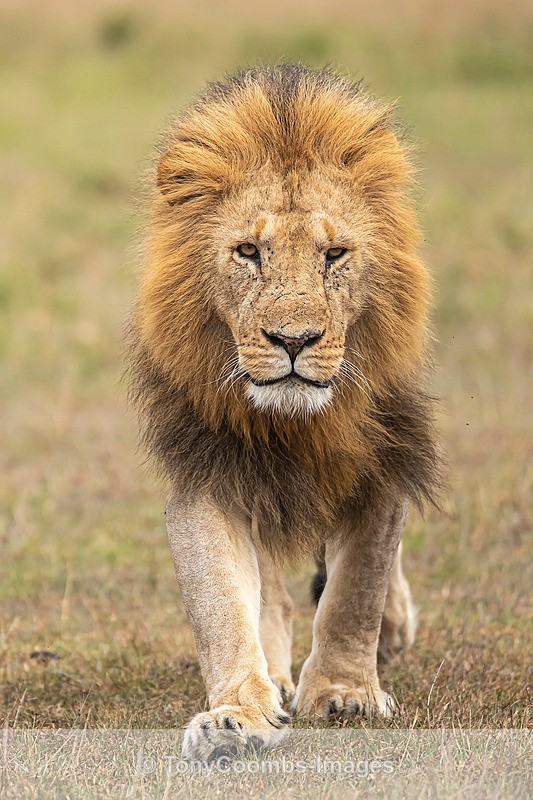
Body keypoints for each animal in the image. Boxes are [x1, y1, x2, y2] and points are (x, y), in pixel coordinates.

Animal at [127, 65, 441, 760]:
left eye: (335, 255)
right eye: (248, 252)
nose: (293, 341)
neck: (297, 423)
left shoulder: (383, 462)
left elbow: (357, 588)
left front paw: (346, 695)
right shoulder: (209, 474)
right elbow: (222, 605)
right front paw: (237, 715)